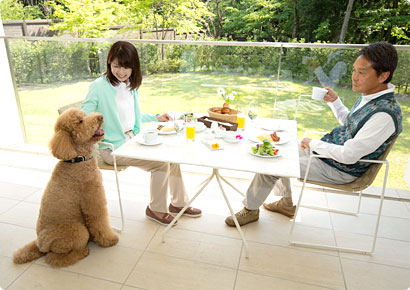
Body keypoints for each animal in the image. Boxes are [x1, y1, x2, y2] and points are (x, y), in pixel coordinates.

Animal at [13, 108, 118, 268]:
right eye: (80, 122)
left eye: (84, 115)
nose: (100, 117)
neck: (77, 159)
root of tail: (41, 246)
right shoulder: (93, 200)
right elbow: (100, 222)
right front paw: (110, 239)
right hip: (77, 230)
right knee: (55, 259)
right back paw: (82, 252)